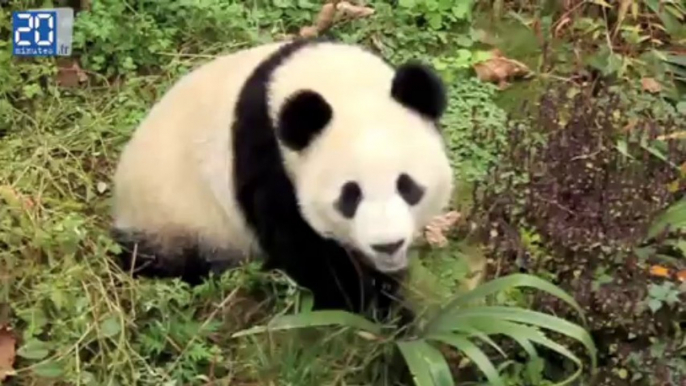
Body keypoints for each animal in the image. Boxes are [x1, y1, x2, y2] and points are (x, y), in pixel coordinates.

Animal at [111, 37, 456, 320]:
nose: (387, 245)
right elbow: (303, 248)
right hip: (173, 218)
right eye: (349, 196)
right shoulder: (265, 155)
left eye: (408, 187)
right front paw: (371, 308)